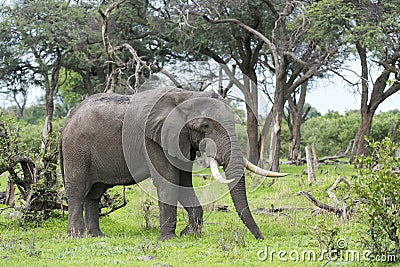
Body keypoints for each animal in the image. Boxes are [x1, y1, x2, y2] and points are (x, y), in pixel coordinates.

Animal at [59, 87, 286, 242]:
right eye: (205, 126)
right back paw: (76, 236)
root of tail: (67, 119)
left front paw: (190, 234)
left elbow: (184, 183)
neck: (187, 95)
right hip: (76, 149)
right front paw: (169, 239)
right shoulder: (152, 140)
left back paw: (97, 236)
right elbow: (168, 182)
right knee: (78, 189)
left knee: (95, 193)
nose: (261, 238)